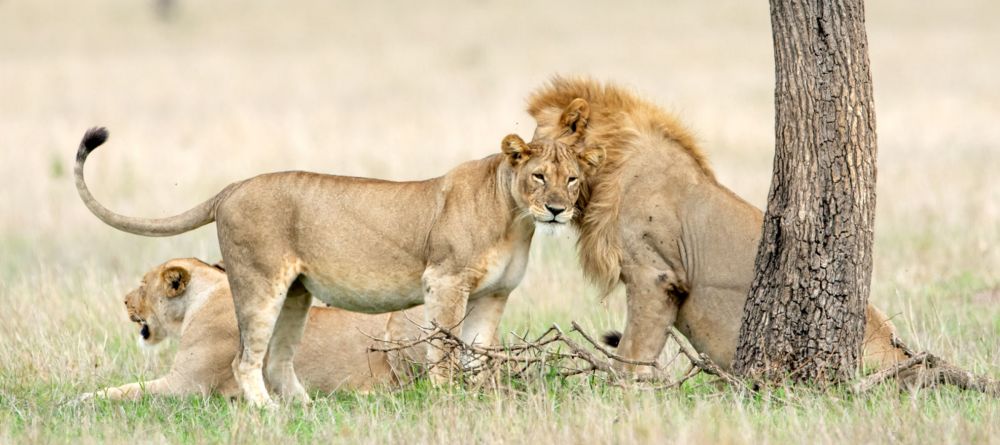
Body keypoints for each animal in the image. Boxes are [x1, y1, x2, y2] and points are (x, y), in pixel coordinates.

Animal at [77, 256, 430, 398]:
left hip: (399, 327)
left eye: (143, 285)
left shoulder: (185, 386)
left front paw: (82, 399)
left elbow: (127, 390)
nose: (124, 301)